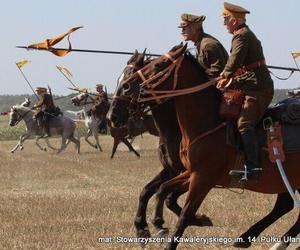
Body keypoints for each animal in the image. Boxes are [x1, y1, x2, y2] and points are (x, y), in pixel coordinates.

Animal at [109, 43, 300, 250]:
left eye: (160, 65)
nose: (112, 115)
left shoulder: (202, 179)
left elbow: (182, 213)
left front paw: (163, 226)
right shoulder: (188, 173)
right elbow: (158, 191)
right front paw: (150, 226)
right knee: (285, 206)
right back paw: (251, 238)